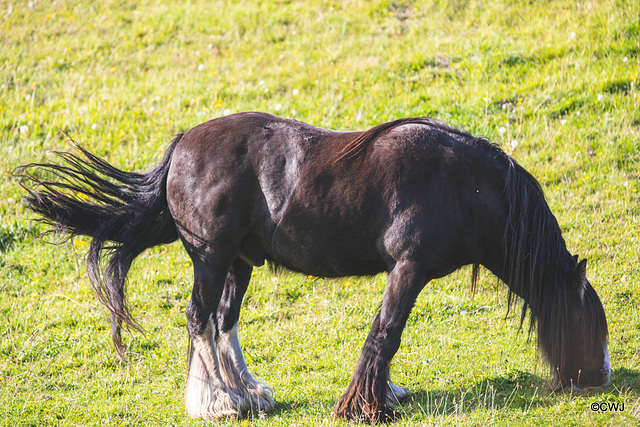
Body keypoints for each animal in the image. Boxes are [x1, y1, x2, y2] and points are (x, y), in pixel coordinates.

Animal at [18, 113, 608, 424]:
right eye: (592, 324)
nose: (600, 378)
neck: (465, 185)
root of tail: (184, 143)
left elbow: (385, 335)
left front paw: (380, 396)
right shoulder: (409, 267)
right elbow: (386, 333)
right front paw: (367, 404)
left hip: (240, 262)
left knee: (224, 321)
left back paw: (247, 392)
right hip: (211, 257)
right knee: (199, 319)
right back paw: (217, 402)